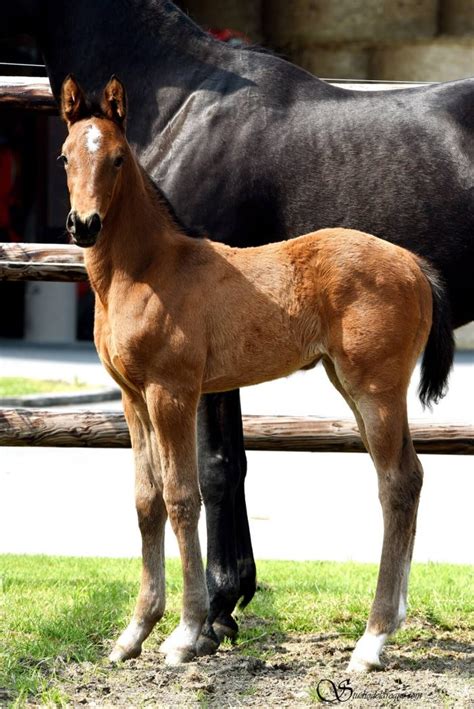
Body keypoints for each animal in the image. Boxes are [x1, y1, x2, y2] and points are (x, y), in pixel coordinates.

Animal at [60, 76, 456, 668]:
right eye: (65, 157)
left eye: (116, 158)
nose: (84, 226)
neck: (147, 269)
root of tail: (414, 264)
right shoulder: (132, 396)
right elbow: (146, 501)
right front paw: (133, 633)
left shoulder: (172, 392)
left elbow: (182, 497)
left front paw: (185, 633)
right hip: (352, 387)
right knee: (406, 478)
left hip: (377, 389)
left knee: (398, 483)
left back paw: (372, 640)